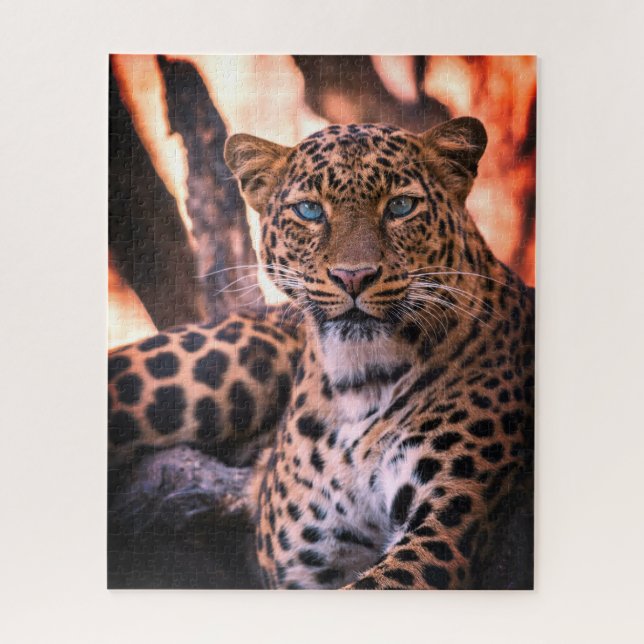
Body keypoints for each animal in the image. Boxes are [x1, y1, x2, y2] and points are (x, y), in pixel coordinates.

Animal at [108, 117, 534, 590]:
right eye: (310, 211)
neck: (361, 382)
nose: (353, 276)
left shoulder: (441, 534)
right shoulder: (306, 564)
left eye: (401, 206)